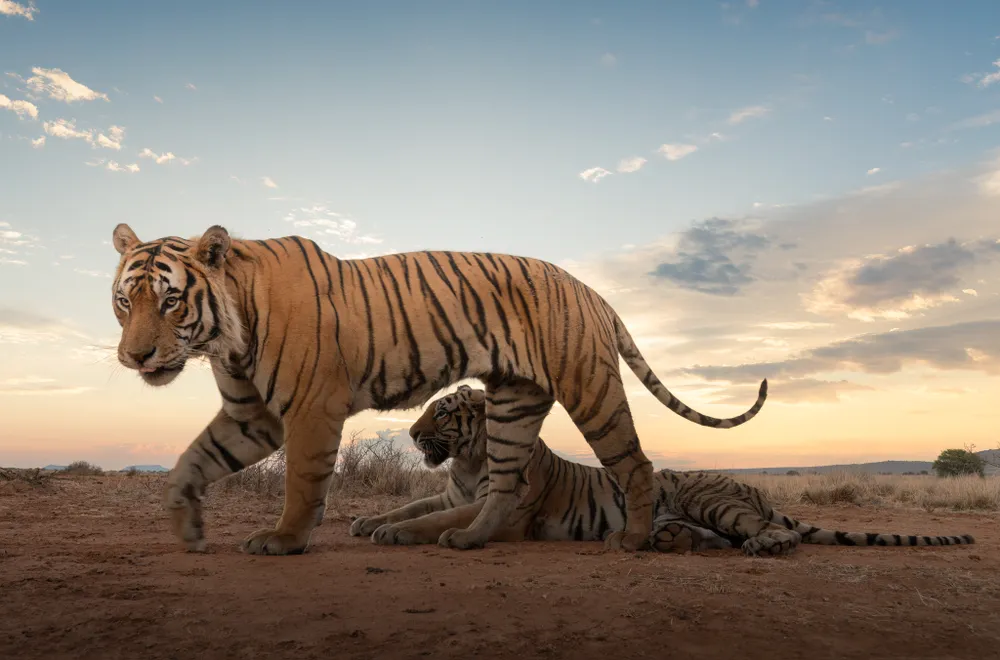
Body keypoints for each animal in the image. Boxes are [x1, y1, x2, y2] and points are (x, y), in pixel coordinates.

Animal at [109, 223, 767, 557]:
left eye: (169, 300)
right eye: (124, 300)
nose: (134, 357)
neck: (226, 331)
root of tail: (589, 288)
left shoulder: (309, 408)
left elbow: (302, 480)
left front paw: (284, 539)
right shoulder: (252, 414)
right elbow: (191, 461)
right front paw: (187, 528)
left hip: (591, 390)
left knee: (635, 462)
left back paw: (632, 539)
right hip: (513, 403)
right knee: (504, 487)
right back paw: (469, 539)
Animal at [351, 386, 976, 556]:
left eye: (441, 412)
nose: (410, 435)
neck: (469, 456)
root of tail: (751, 487)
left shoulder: (497, 510)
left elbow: (431, 522)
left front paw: (395, 533)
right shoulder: (450, 493)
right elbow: (414, 504)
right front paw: (368, 522)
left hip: (712, 499)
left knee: (775, 534)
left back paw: (761, 546)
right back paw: (673, 542)